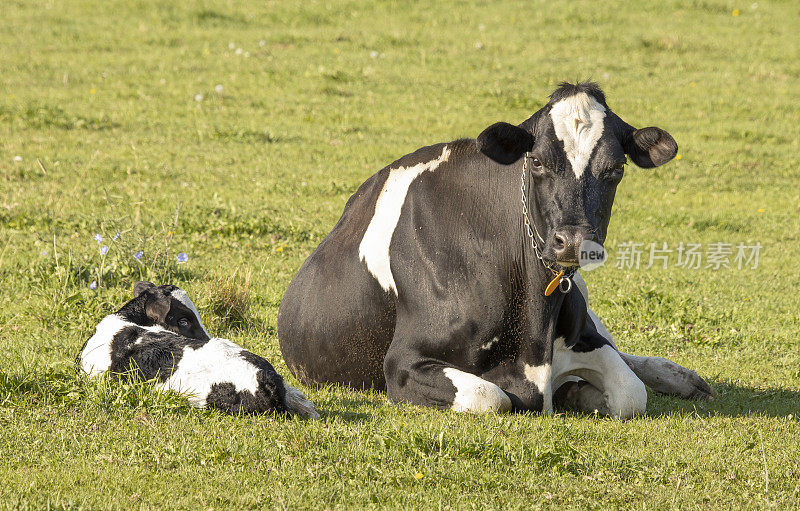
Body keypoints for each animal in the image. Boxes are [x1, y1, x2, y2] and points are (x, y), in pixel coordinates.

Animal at [276, 82, 712, 418]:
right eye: (536, 161)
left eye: (616, 169)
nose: (574, 242)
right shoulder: (402, 362)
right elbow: (491, 396)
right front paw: (572, 392)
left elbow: (629, 393)